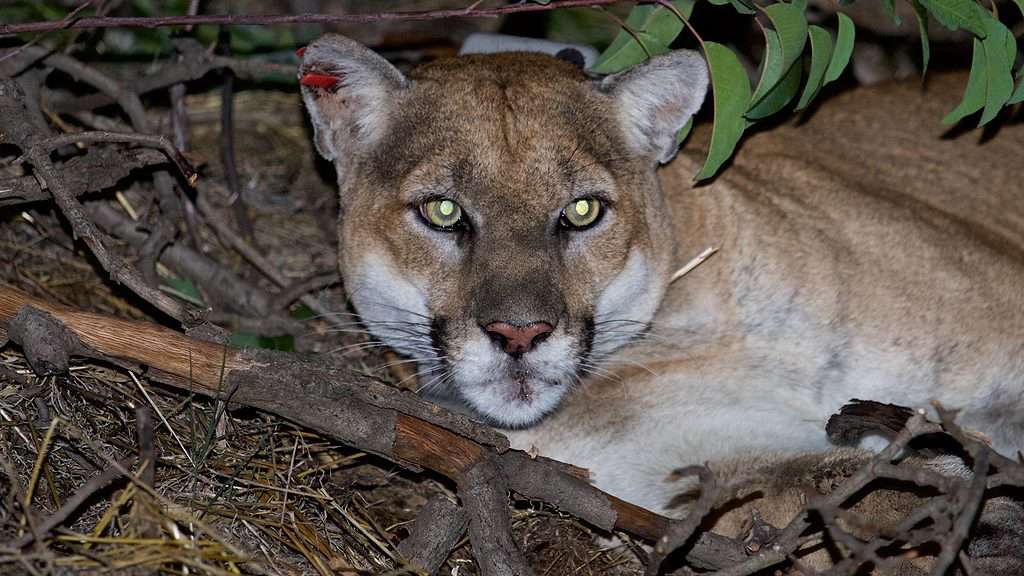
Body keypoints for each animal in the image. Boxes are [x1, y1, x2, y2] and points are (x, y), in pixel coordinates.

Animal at [296, 33, 1024, 518]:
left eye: (583, 211)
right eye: (442, 211)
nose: (519, 335)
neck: (675, 328)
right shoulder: (706, 462)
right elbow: (831, 481)